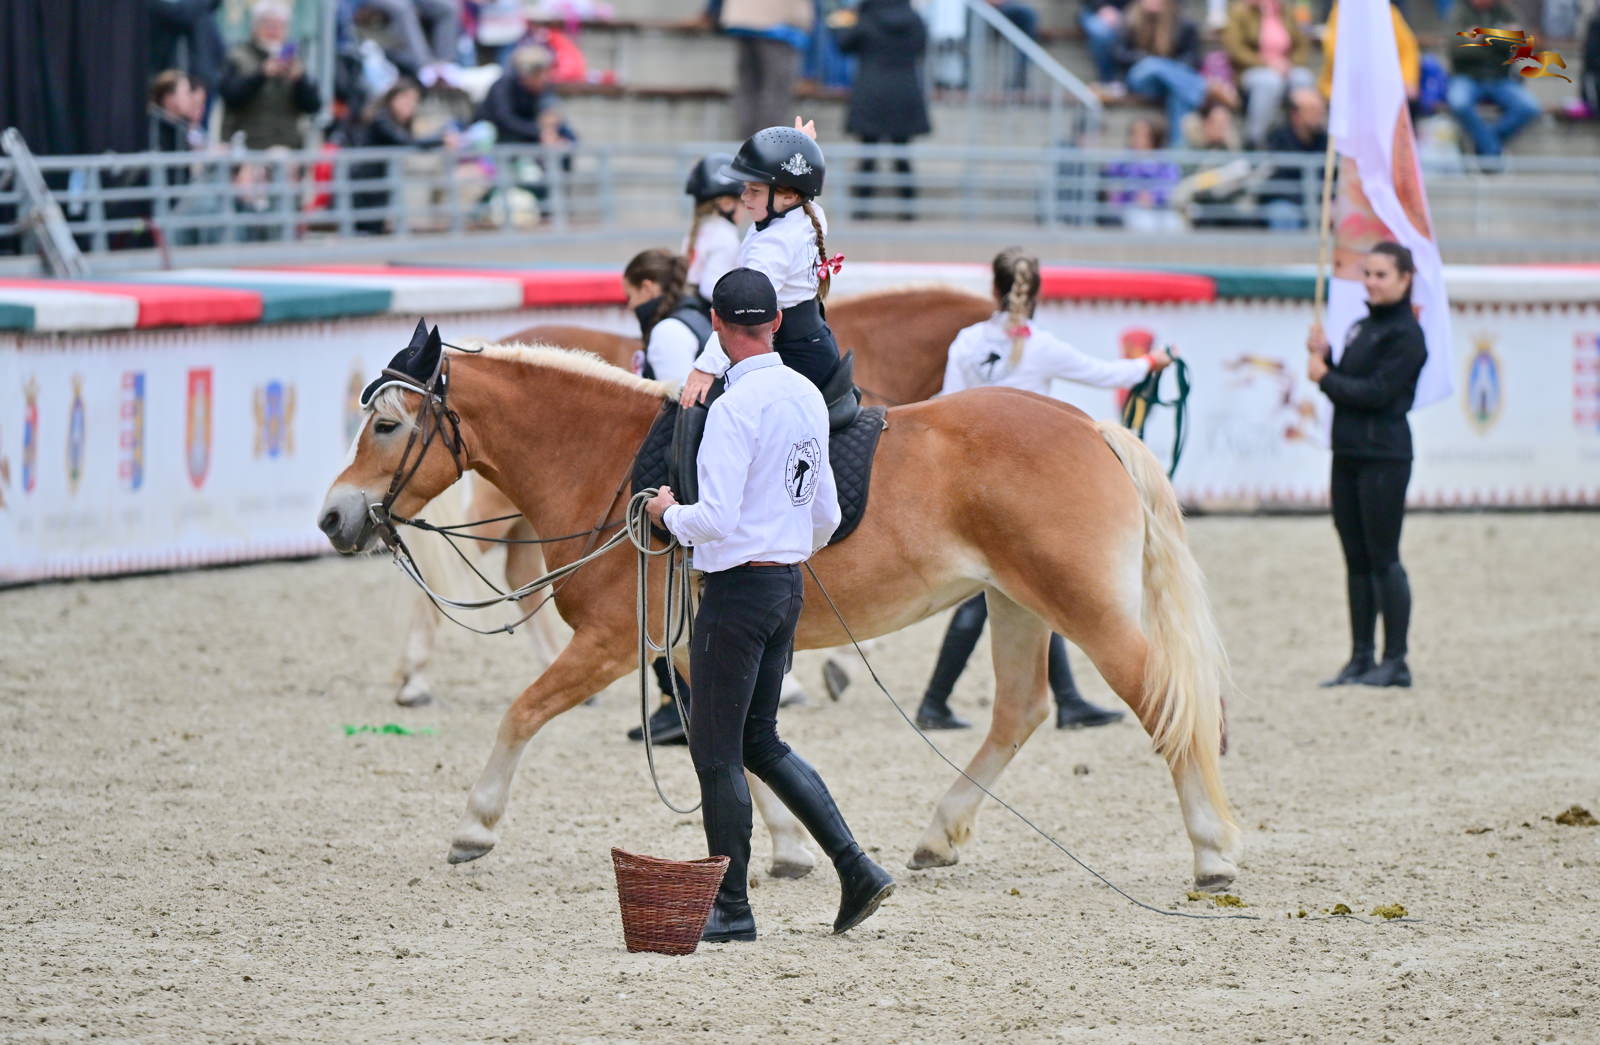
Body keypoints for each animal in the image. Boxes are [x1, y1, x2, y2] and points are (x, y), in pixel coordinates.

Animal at [320, 342, 1241, 891]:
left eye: (388, 423)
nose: (333, 516)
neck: (613, 461)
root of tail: (1088, 425)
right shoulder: (695, 650)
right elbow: (738, 749)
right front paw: (793, 847)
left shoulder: (614, 644)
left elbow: (523, 712)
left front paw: (474, 825)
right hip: (1015, 602)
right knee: (1020, 712)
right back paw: (939, 834)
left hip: (1081, 605)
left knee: (1164, 705)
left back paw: (1212, 850)